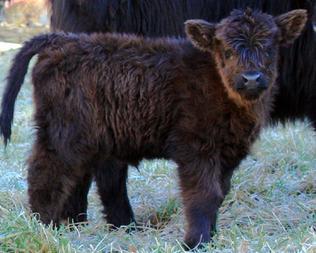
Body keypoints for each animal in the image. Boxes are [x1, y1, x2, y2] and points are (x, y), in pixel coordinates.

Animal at [0, 8, 308, 248]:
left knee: (75, 178)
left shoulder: (228, 155)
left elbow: (220, 194)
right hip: (63, 135)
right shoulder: (195, 150)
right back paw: (44, 228)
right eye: (228, 50)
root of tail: (61, 41)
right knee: (45, 174)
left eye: (270, 47)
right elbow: (203, 196)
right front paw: (195, 242)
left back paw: (67, 228)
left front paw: (212, 236)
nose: (251, 78)